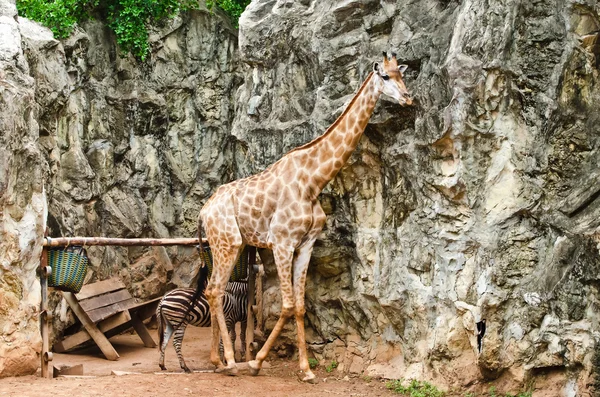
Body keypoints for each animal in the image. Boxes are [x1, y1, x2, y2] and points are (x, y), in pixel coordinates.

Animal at [200, 51, 412, 382]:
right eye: (386, 77)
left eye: (404, 75)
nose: (408, 98)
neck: (314, 181)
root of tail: (204, 209)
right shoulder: (282, 242)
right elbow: (287, 305)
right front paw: (257, 362)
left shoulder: (306, 244)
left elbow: (299, 307)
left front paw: (306, 369)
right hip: (227, 243)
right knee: (215, 290)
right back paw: (232, 362)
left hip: (231, 244)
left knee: (213, 291)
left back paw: (217, 361)